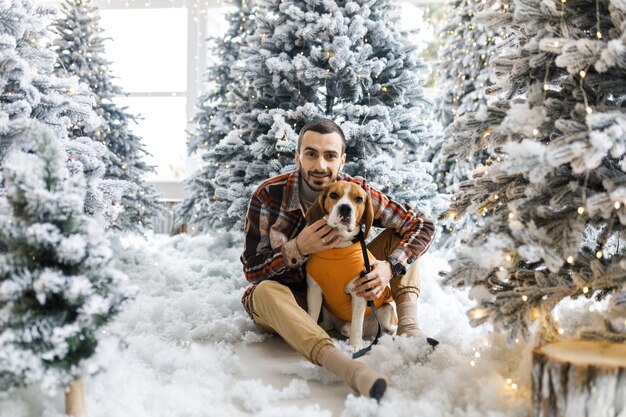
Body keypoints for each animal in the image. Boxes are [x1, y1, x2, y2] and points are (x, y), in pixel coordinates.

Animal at [304, 181, 398, 352]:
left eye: (359, 199)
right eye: (333, 195)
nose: (345, 208)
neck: (338, 247)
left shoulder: (359, 293)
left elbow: (357, 324)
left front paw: (355, 345)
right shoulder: (314, 290)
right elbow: (311, 315)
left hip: (387, 312)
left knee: (387, 327)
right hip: (328, 311)